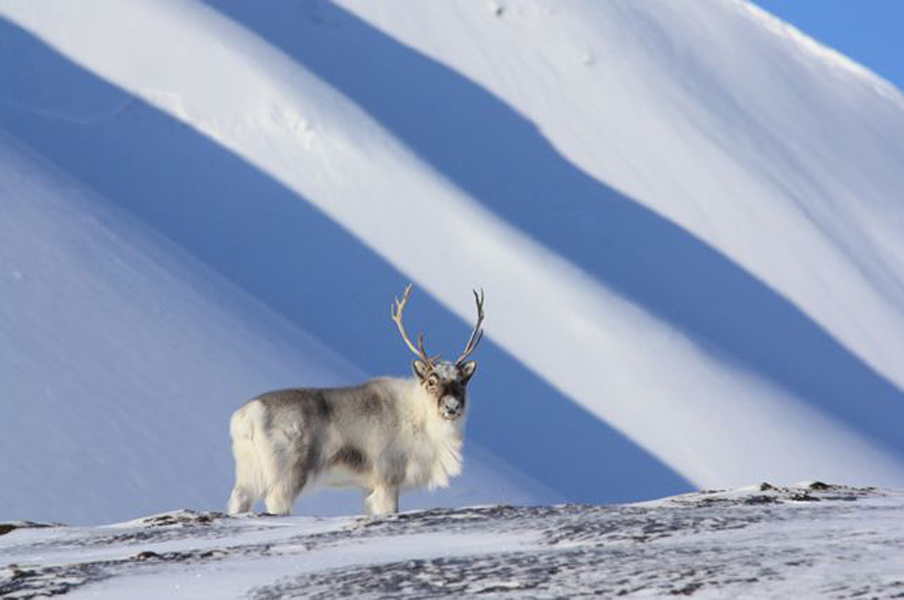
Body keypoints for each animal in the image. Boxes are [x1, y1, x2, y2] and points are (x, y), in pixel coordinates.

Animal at [226, 284, 485, 516]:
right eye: (432, 381)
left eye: (462, 381)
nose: (452, 406)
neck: (422, 420)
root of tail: (247, 415)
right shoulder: (388, 481)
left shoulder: (368, 487)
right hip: (287, 474)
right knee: (275, 502)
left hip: (249, 471)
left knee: (238, 499)